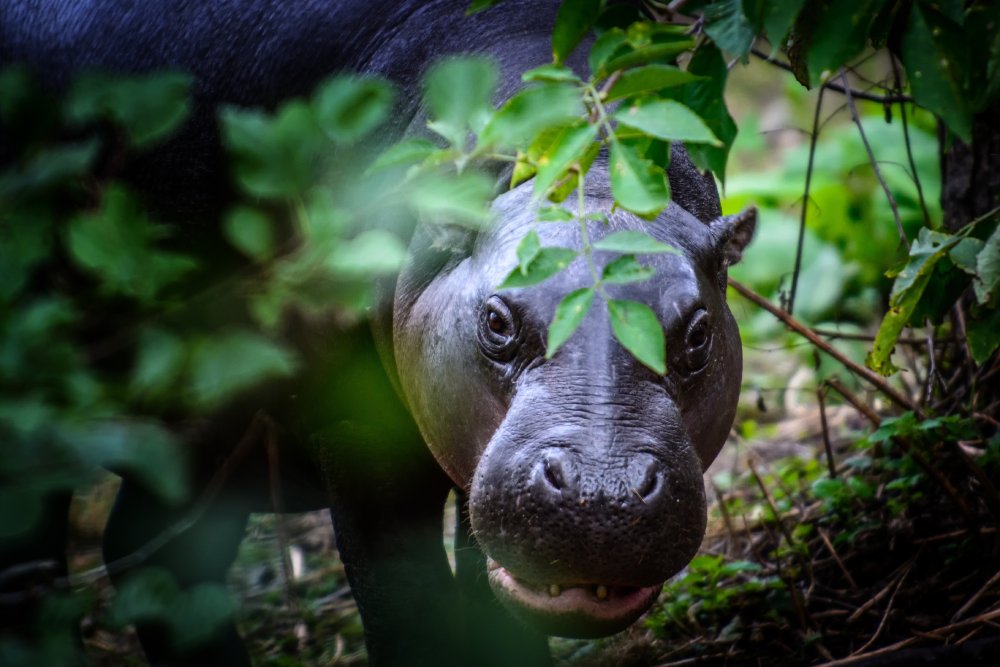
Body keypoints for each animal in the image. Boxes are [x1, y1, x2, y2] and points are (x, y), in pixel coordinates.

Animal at [0, 1, 755, 665]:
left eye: (697, 333)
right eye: (496, 321)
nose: (604, 491)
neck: (589, 165)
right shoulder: (362, 444)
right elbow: (407, 607)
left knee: (155, 557)